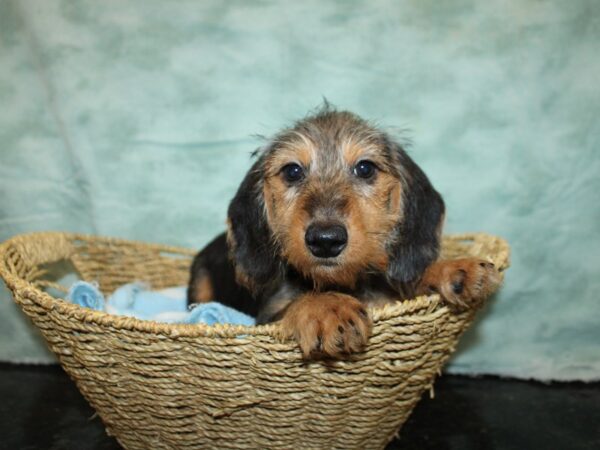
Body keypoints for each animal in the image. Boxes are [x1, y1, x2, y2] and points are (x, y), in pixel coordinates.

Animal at [189, 105, 502, 358]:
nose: (325, 241)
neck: (342, 283)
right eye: (292, 171)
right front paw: (328, 309)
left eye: (365, 168)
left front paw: (454, 269)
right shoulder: (265, 318)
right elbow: (297, 303)